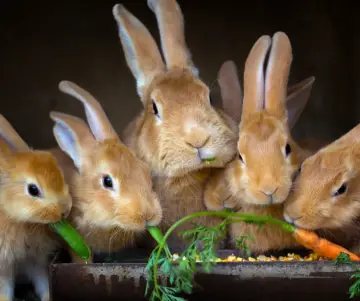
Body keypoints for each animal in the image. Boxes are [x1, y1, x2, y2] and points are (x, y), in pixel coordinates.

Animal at [0, 113, 71, 298]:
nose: (65, 211)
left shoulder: (34, 259)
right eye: (33, 190)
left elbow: (42, 281)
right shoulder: (4, 265)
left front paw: (47, 297)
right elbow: (4, 289)